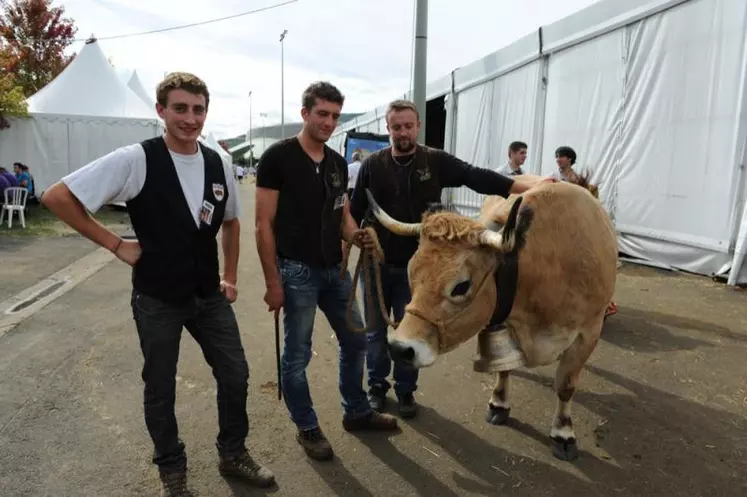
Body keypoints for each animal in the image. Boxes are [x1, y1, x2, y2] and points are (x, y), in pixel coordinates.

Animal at [366, 182, 616, 462]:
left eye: (461, 286)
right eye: (411, 273)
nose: (399, 348)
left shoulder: (588, 332)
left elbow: (566, 385)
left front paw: (563, 433)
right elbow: (503, 368)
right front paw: (499, 403)